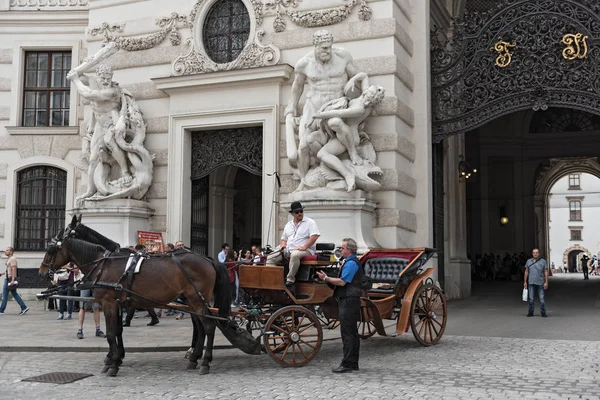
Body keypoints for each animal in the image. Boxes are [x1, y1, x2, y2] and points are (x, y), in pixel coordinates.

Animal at [39, 228, 231, 376]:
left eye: (51, 250)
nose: (41, 272)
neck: (103, 265)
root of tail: (208, 259)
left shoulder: (109, 304)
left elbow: (111, 334)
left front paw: (113, 364)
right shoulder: (117, 304)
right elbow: (117, 330)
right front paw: (115, 358)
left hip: (197, 300)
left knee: (209, 327)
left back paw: (205, 362)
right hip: (192, 301)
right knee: (200, 327)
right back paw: (194, 359)